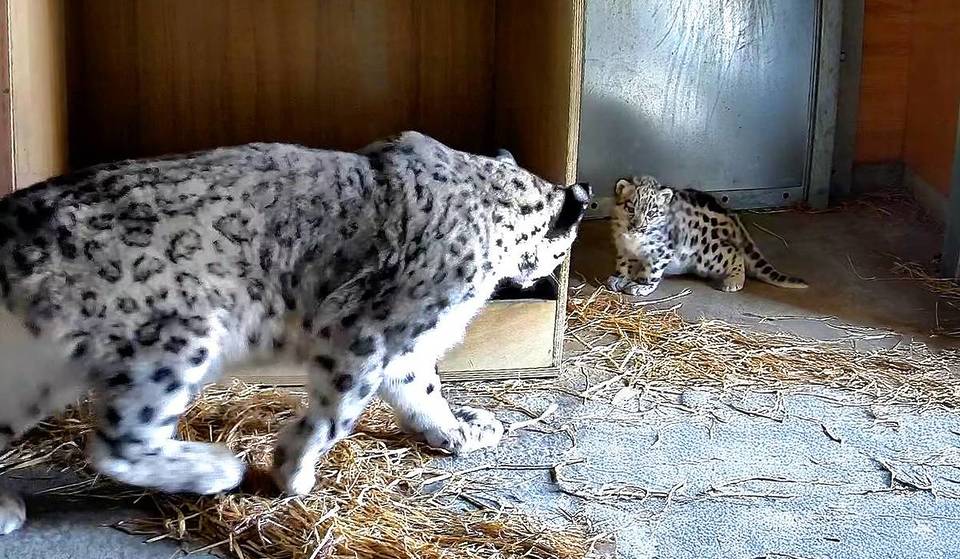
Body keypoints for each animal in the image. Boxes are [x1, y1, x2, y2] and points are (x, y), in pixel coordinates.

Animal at [0, 131, 590, 534]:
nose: (550, 271)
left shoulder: (407, 345)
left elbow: (423, 391)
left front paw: (458, 429)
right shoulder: (367, 333)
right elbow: (338, 413)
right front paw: (292, 471)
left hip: (34, 374)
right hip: (176, 338)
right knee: (119, 442)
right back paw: (215, 469)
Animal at [605, 175, 806, 296]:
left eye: (652, 213)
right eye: (631, 208)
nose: (638, 226)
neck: (631, 239)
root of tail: (731, 215)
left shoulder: (662, 250)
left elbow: (651, 270)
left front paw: (641, 285)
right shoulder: (623, 247)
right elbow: (624, 264)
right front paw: (618, 278)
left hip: (708, 255)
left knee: (735, 253)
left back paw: (733, 281)